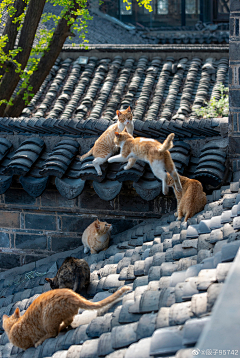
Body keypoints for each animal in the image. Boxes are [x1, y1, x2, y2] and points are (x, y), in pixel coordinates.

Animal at [2, 286, 130, 350]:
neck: (14, 324)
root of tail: (74, 296)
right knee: (69, 320)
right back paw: (62, 326)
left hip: (48, 316)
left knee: (53, 333)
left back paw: (42, 339)